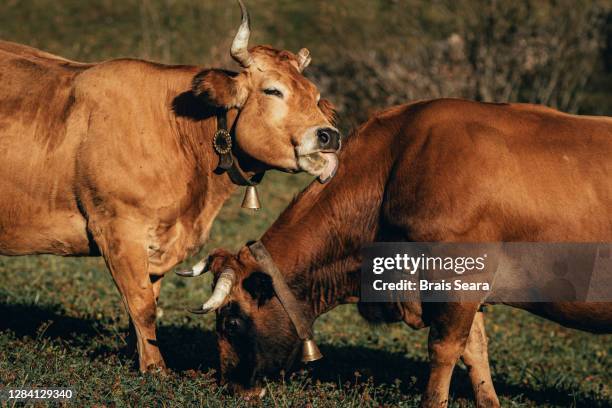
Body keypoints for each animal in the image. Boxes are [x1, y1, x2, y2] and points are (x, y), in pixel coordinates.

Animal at [0, 0, 340, 372]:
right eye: (273, 90)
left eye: (315, 96)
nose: (329, 135)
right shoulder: (117, 229)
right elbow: (143, 306)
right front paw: (156, 370)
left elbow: (146, 302)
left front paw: (138, 357)